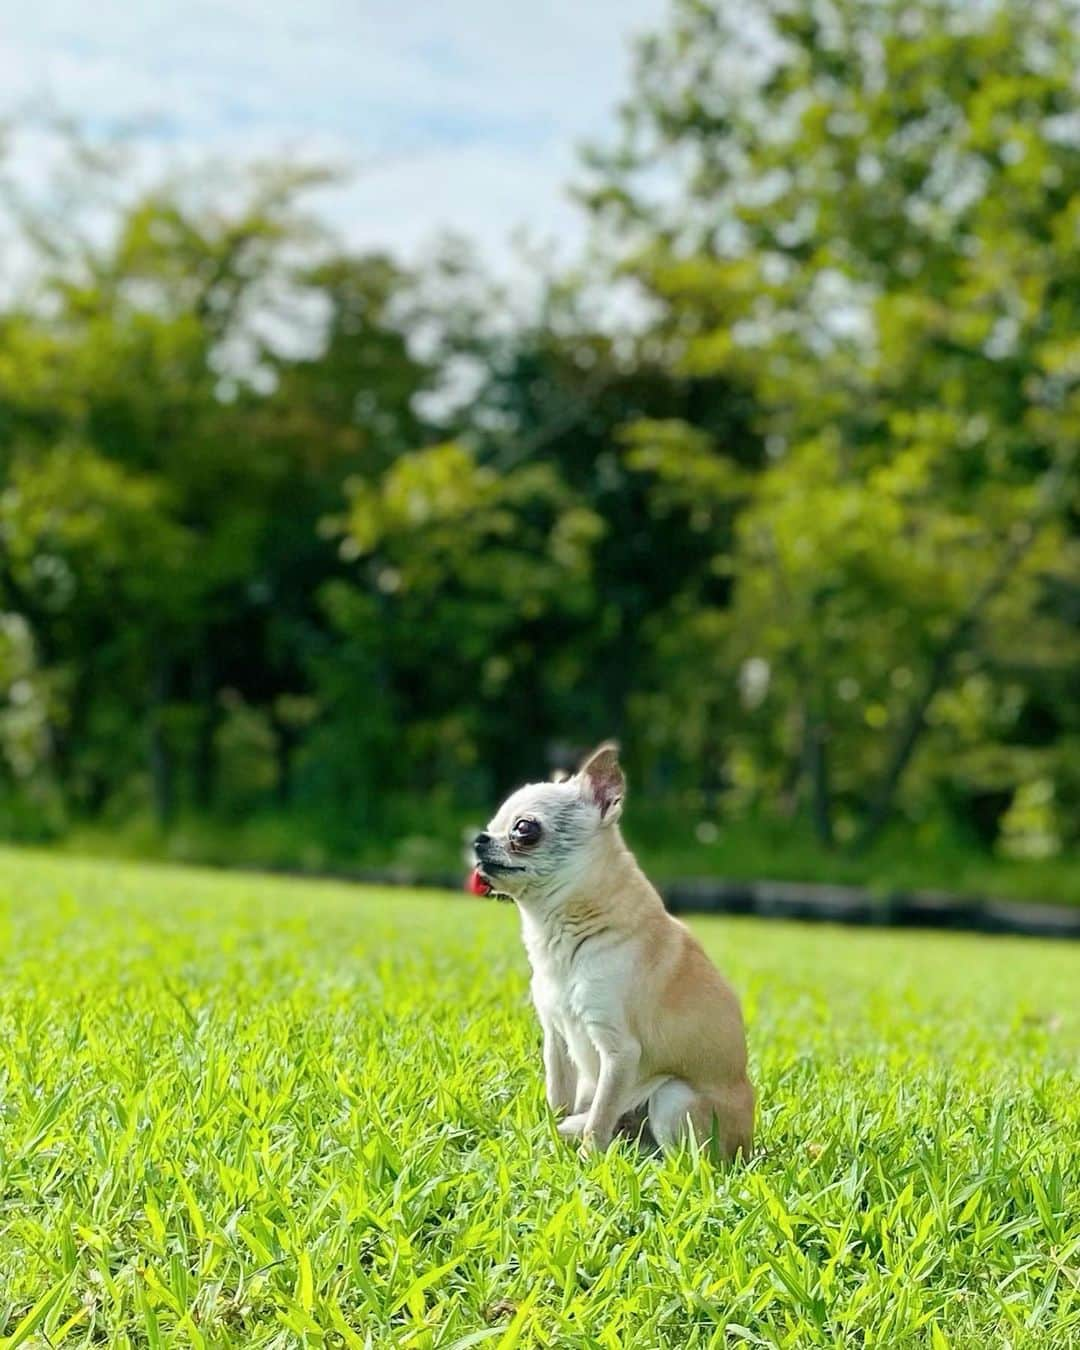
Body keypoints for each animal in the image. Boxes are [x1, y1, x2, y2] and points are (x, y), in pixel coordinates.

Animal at [467, 745, 756, 1155]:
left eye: (524, 830)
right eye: (492, 825)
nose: (479, 839)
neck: (563, 930)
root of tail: (748, 1145)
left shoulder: (620, 1054)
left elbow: (601, 1117)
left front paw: (587, 1160)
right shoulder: (556, 1040)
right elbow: (558, 1098)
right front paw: (549, 1138)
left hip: (672, 1098)